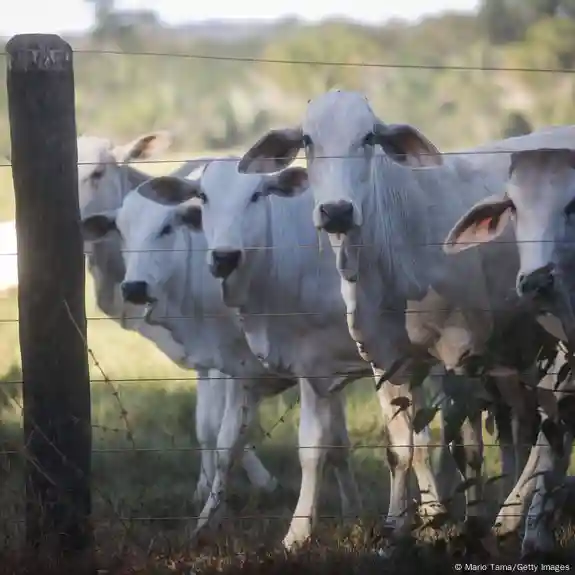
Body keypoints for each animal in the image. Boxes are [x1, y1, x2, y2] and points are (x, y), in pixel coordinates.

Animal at [75, 135, 282, 512]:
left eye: (97, 173)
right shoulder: (204, 354)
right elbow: (206, 425)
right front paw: (204, 488)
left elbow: (221, 424)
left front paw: (260, 482)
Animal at [235, 89, 564, 536]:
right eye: (307, 140)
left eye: (369, 137)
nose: (337, 211)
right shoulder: (385, 361)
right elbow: (403, 449)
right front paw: (397, 528)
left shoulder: (460, 357)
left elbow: (466, 448)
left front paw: (469, 522)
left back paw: (512, 514)